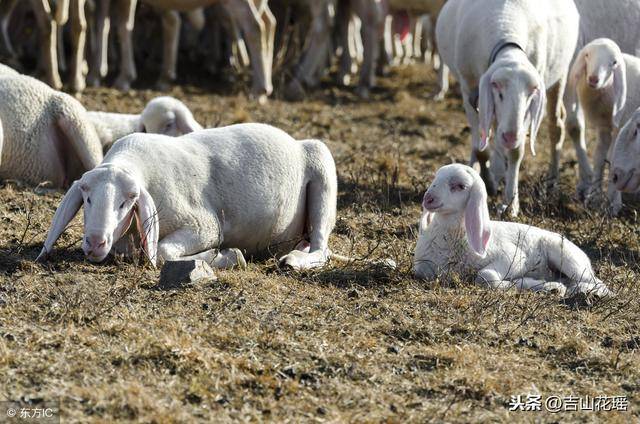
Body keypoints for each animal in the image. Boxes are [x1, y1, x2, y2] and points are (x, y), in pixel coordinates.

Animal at [40, 121, 396, 272]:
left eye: (126, 201)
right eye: (87, 199)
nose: (95, 242)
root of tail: (297, 143)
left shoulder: (205, 226)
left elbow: (165, 252)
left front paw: (224, 256)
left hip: (322, 167)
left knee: (321, 248)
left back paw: (293, 261)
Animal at [412, 163, 612, 298]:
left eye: (460, 186)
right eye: (436, 178)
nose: (428, 199)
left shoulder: (513, 257)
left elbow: (485, 276)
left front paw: (512, 283)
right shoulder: (422, 265)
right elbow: (421, 271)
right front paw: (539, 285)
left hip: (567, 257)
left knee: (598, 283)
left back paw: (586, 292)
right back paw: (558, 287)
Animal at [436, 0, 580, 217]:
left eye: (531, 93)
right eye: (498, 89)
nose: (510, 136)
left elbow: (515, 152)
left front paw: (511, 203)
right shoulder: (469, 89)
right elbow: (481, 147)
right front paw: (487, 182)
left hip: (560, 74)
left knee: (556, 127)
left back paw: (551, 182)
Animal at [568, 38, 636, 214]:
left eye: (614, 63)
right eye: (587, 55)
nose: (593, 79)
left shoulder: (622, 127)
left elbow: (613, 158)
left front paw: (613, 203)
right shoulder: (603, 127)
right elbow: (599, 156)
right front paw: (594, 196)